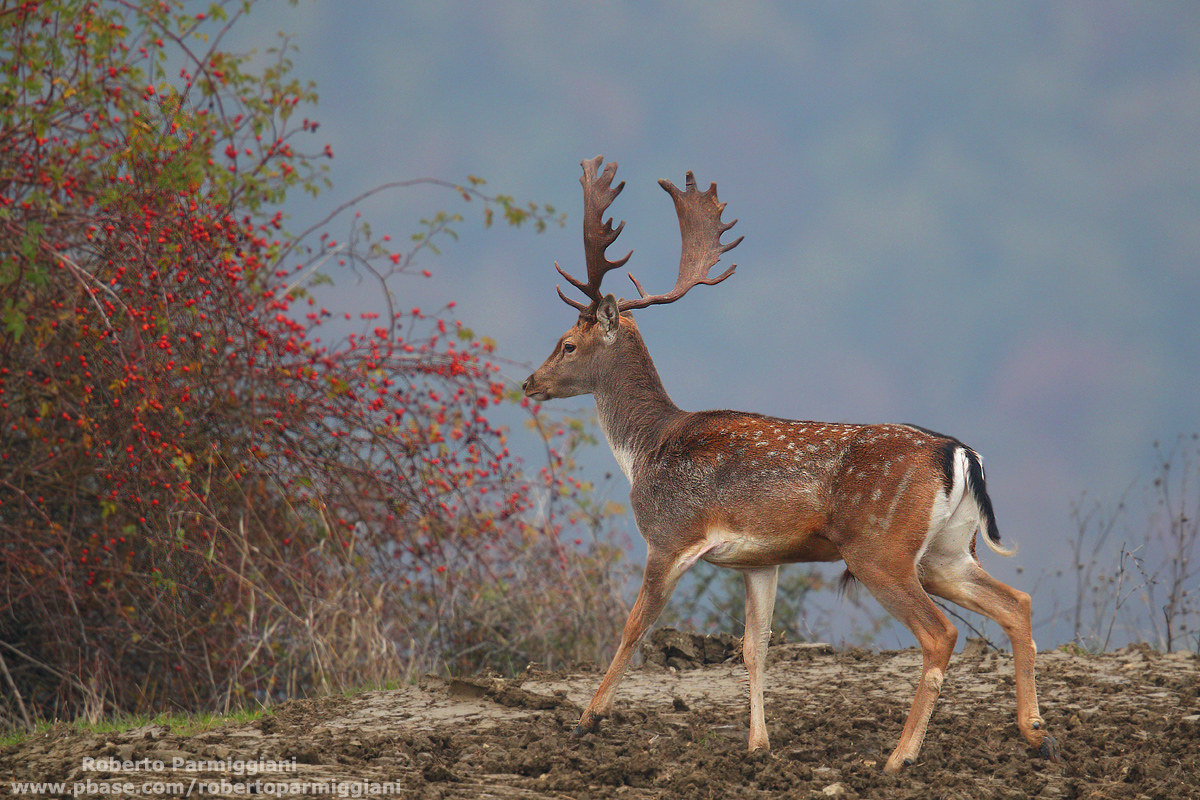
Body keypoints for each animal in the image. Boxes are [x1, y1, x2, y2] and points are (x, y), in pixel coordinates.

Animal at [522, 155, 1060, 773]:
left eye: (566, 343)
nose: (529, 382)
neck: (645, 449)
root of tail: (961, 455)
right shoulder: (760, 559)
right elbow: (755, 649)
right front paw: (759, 746)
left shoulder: (670, 535)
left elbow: (634, 628)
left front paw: (587, 720)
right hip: (946, 551)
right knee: (1017, 603)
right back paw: (1036, 732)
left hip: (879, 549)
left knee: (942, 634)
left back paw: (899, 758)